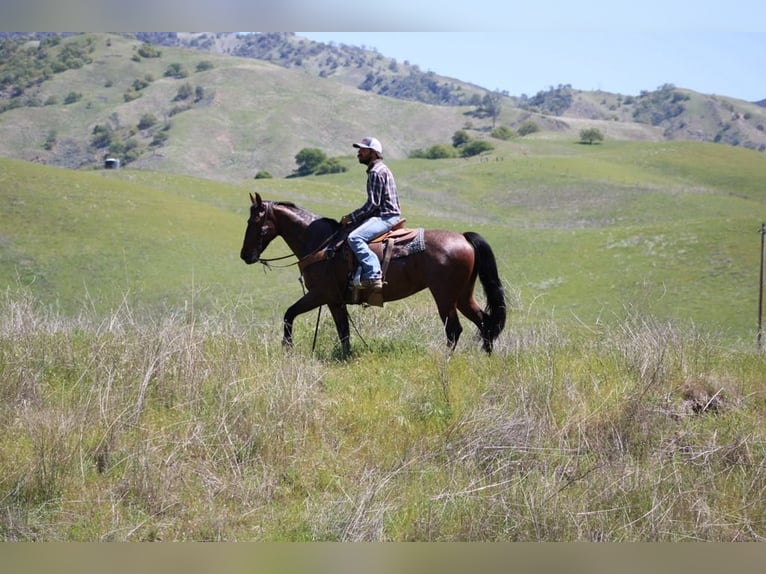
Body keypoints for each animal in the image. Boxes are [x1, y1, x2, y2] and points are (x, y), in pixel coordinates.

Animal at [240, 192, 506, 356]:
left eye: (254, 223)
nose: (245, 255)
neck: (321, 244)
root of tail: (463, 237)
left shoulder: (321, 294)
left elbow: (289, 314)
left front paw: (287, 349)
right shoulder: (335, 301)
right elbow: (344, 332)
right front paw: (345, 357)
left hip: (444, 297)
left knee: (454, 330)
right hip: (462, 296)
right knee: (484, 321)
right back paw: (486, 357)